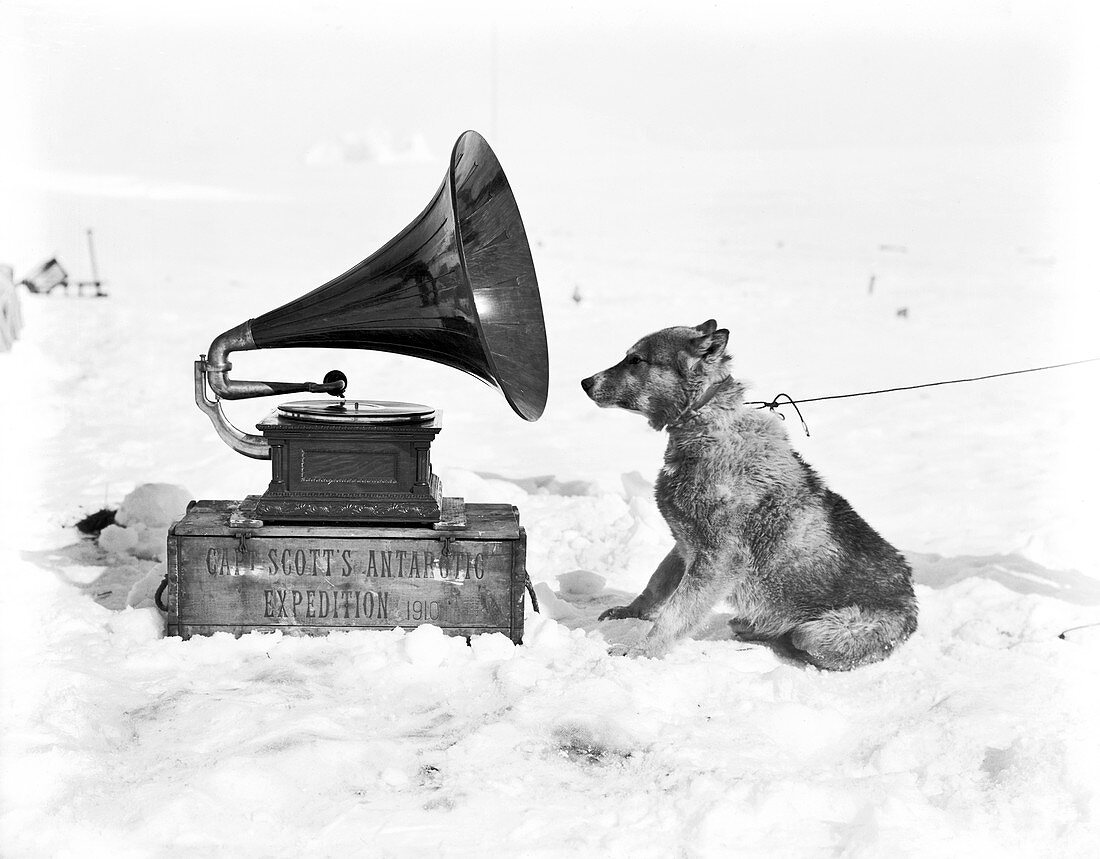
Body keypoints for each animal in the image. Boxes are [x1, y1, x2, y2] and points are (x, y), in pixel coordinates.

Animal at [580, 318, 915, 668]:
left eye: (636, 360)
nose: (585, 382)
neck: (706, 427)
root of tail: (911, 605)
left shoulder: (717, 560)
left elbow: (674, 614)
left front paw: (641, 652)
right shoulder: (684, 546)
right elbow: (656, 585)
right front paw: (630, 614)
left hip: (819, 633)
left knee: (801, 638)